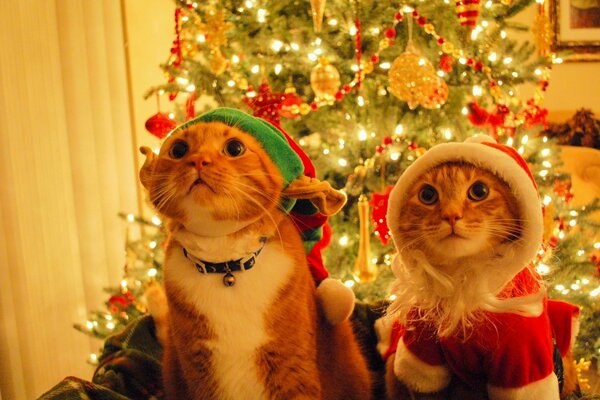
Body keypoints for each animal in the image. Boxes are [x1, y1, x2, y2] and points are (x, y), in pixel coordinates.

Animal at [139, 110, 370, 400]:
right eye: (179, 150)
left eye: (234, 148)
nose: (197, 160)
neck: (226, 265)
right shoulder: (198, 372)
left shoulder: (291, 366)